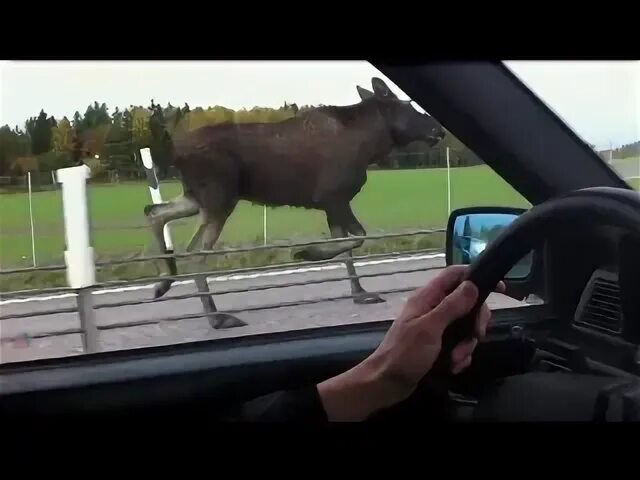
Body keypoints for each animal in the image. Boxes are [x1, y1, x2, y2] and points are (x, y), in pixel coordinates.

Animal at [144, 78, 444, 326]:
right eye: (408, 105)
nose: (438, 128)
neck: (371, 146)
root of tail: (177, 155)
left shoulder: (332, 204)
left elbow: (345, 247)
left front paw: (360, 293)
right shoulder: (332, 197)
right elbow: (357, 237)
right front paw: (307, 253)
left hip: (198, 197)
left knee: (155, 212)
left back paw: (163, 284)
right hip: (220, 199)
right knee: (194, 251)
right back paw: (216, 317)